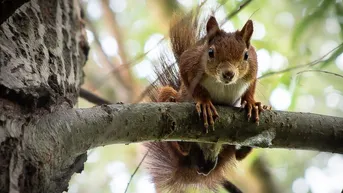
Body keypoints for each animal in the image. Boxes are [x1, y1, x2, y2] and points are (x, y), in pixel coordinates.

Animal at [144, 12, 270, 192]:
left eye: (245, 55)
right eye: (211, 52)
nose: (228, 74)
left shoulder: (254, 64)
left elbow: (251, 85)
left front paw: (251, 103)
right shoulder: (190, 61)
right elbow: (191, 82)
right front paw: (204, 103)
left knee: (238, 155)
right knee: (183, 146)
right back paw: (173, 104)